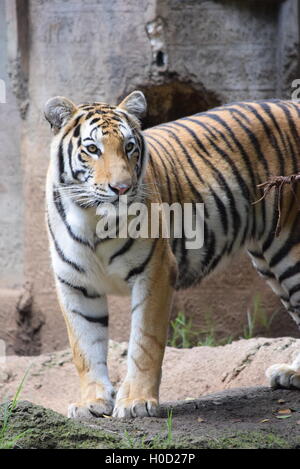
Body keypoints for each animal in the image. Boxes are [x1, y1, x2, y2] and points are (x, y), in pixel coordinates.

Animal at [44, 90, 300, 416]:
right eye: (92, 149)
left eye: (129, 147)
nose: (122, 188)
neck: (92, 220)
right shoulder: (75, 284)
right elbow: (84, 347)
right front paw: (92, 402)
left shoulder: (155, 270)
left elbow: (145, 342)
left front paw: (137, 402)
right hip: (270, 262)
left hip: (289, 248)